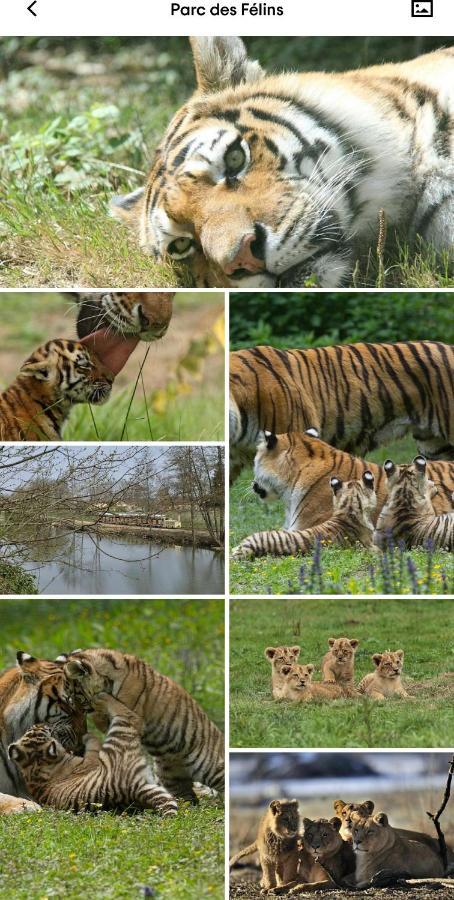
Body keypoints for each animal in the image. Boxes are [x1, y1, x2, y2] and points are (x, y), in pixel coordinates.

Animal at [8, 692, 177, 820]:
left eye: (31, 730)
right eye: (47, 731)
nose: (40, 724)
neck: (35, 766)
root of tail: (132, 790)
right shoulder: (91, 759)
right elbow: (94, 742)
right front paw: (86, 735)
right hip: (119, 734)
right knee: (130, 716)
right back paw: (101, 697)